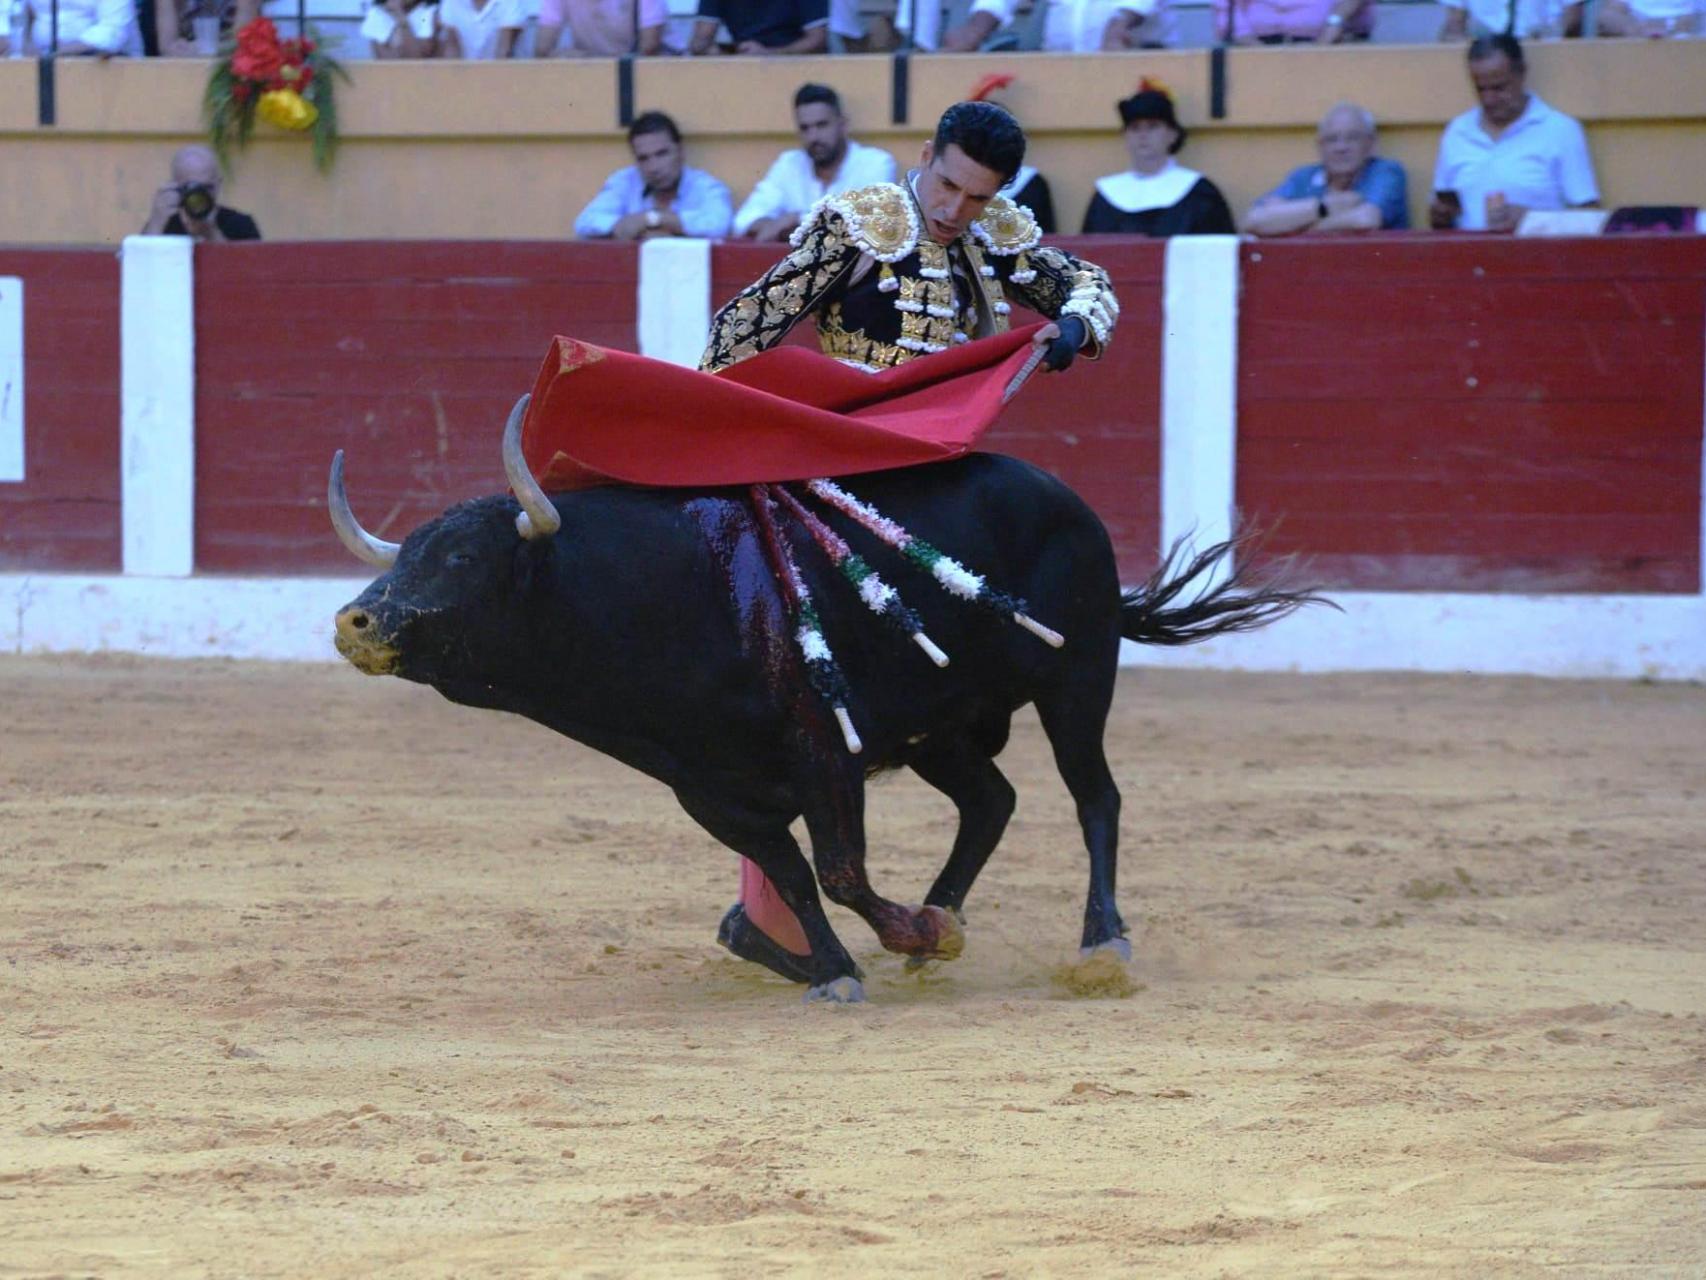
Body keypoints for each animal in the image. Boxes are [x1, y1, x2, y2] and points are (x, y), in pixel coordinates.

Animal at [329, 406, 1317, 1010]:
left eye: (462, 558)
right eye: (407, 551)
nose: (356, 620)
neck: (655, 593)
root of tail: (1061, 494)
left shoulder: (824, 753)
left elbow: (839, 870)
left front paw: (903, 935)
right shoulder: (710, 789)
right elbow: (793, 881)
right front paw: (842, 968)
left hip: (1077, 679)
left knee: (1094, 798)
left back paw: (1099, 944)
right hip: (939, 727)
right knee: (992, 801)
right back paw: (939, 927)